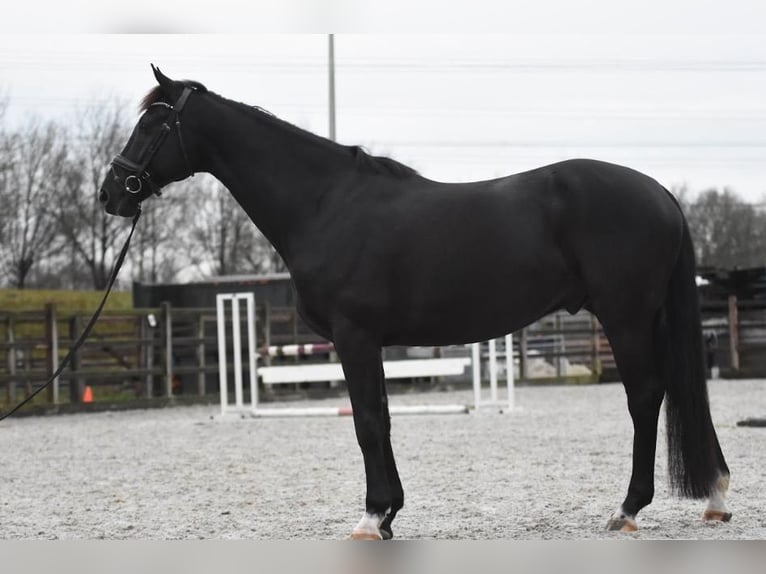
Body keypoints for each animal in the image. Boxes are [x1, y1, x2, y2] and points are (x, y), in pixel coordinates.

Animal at [99, 65, 732, 539]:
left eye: (154, 123)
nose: (110, 194)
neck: (325, 203)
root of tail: (661, 193)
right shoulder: (372, 341)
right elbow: (381, 418)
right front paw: (389, 514)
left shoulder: (354, 335)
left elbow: (365, 421)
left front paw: (371, 516)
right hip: (649, 317)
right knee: (679, 386)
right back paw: (715, 497)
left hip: (625, 316)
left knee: (646, 396)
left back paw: (627, 508)